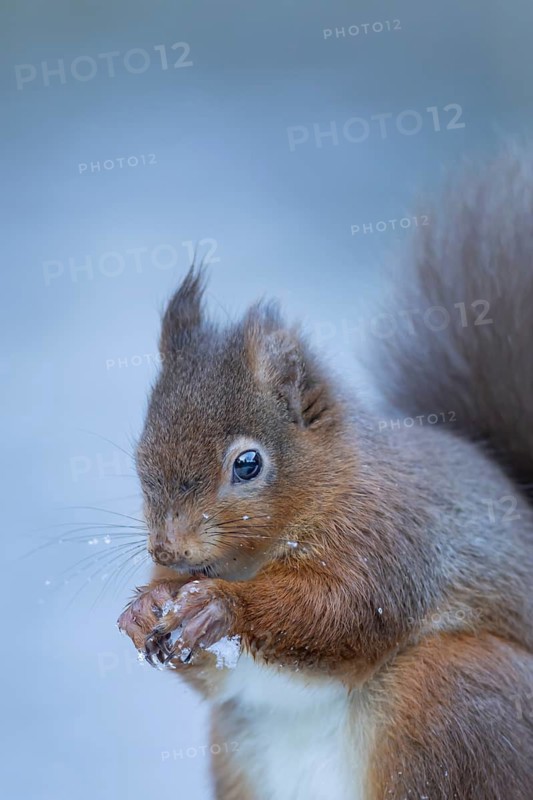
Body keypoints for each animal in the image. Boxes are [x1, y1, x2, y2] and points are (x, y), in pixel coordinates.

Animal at [118, 148, 533, 800]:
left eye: (248, 463)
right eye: (139, 451)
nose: (167, 547)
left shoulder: (388, 538)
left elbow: (342, 611)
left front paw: (220, 607)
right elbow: (217, 676)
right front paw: (145, 608)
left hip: (447, 696)